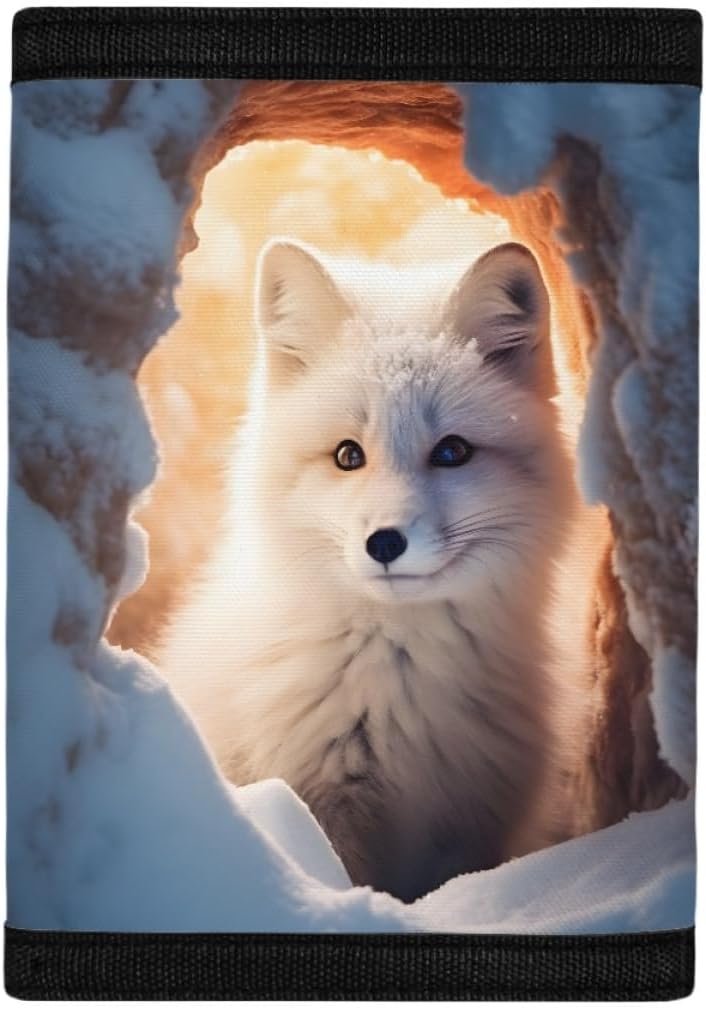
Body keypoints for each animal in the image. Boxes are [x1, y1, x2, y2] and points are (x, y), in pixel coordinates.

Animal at [161, 237, 587, 902]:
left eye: (452, 452)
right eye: (347, 456)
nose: (384, 543)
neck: (402, 684)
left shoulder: (474, 825)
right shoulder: (326, 804)